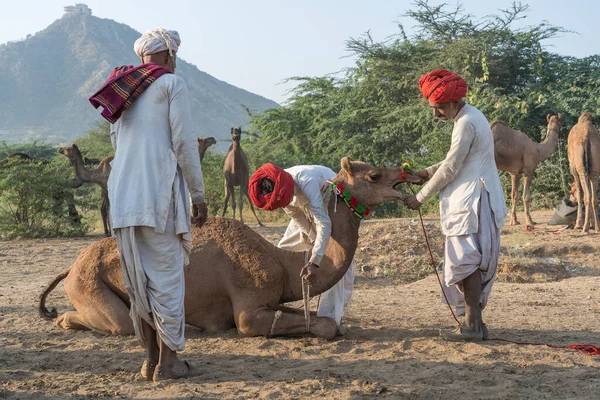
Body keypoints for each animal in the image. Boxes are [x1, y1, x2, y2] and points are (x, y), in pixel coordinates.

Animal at [39, 158, 420, 340]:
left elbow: (319, 318)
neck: (280, 263)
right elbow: (322, 326)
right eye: (373, 175)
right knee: (113, 323)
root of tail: (71, 266)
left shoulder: (273, 299)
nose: (410, 175)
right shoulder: (248, 310)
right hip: (89, 285)